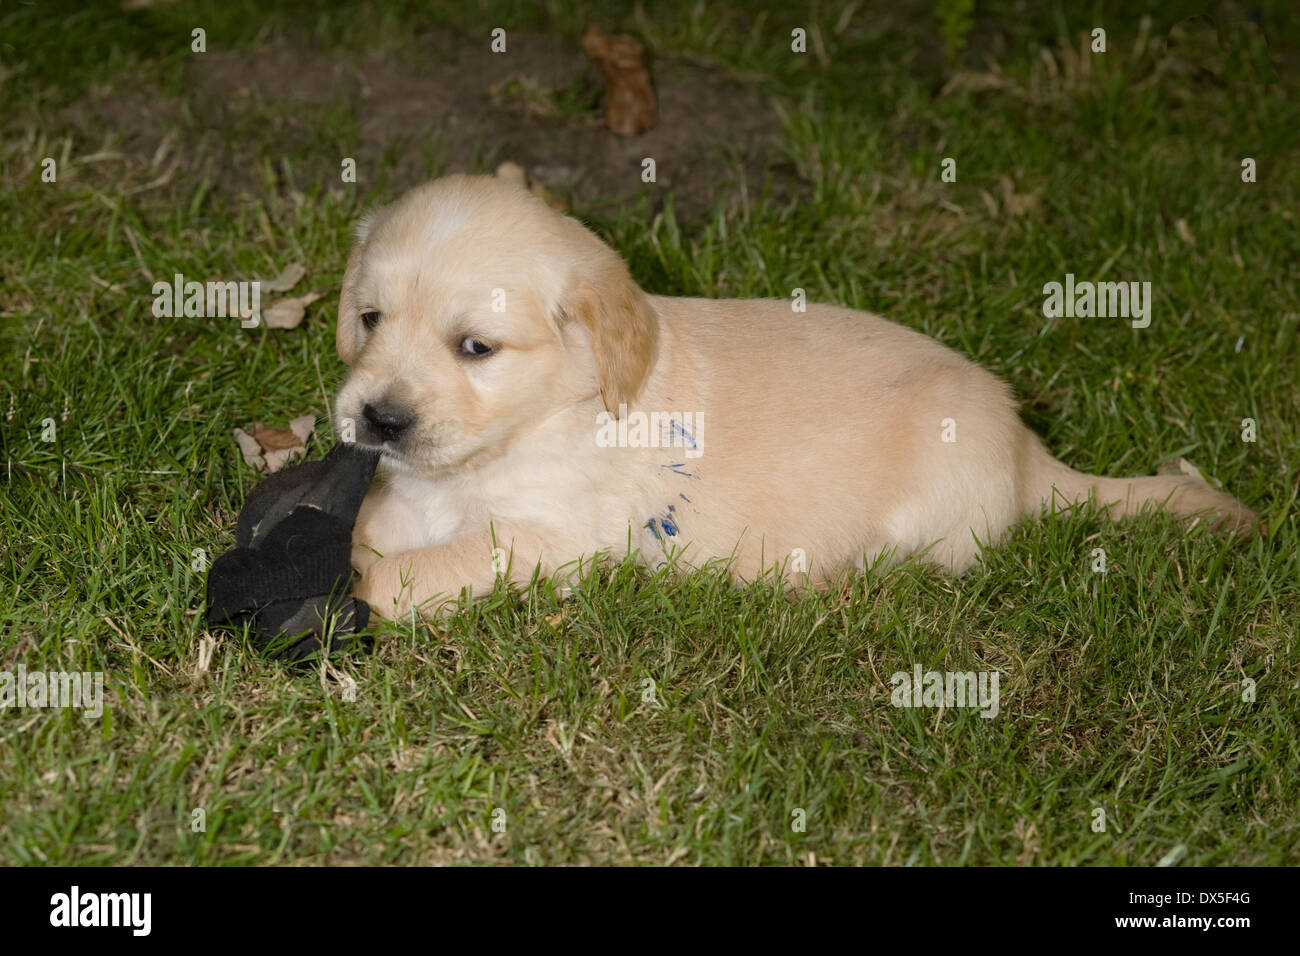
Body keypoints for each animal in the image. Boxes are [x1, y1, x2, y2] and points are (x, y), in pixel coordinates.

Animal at [335, 174, 1258, 616]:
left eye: (476, 348)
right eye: (370, 319)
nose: (376, 418)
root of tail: (1033, 455)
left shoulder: (550, 536)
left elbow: (429, 565)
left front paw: (358, 592)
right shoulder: (413, 493)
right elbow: (375, 522)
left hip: (928, 502)